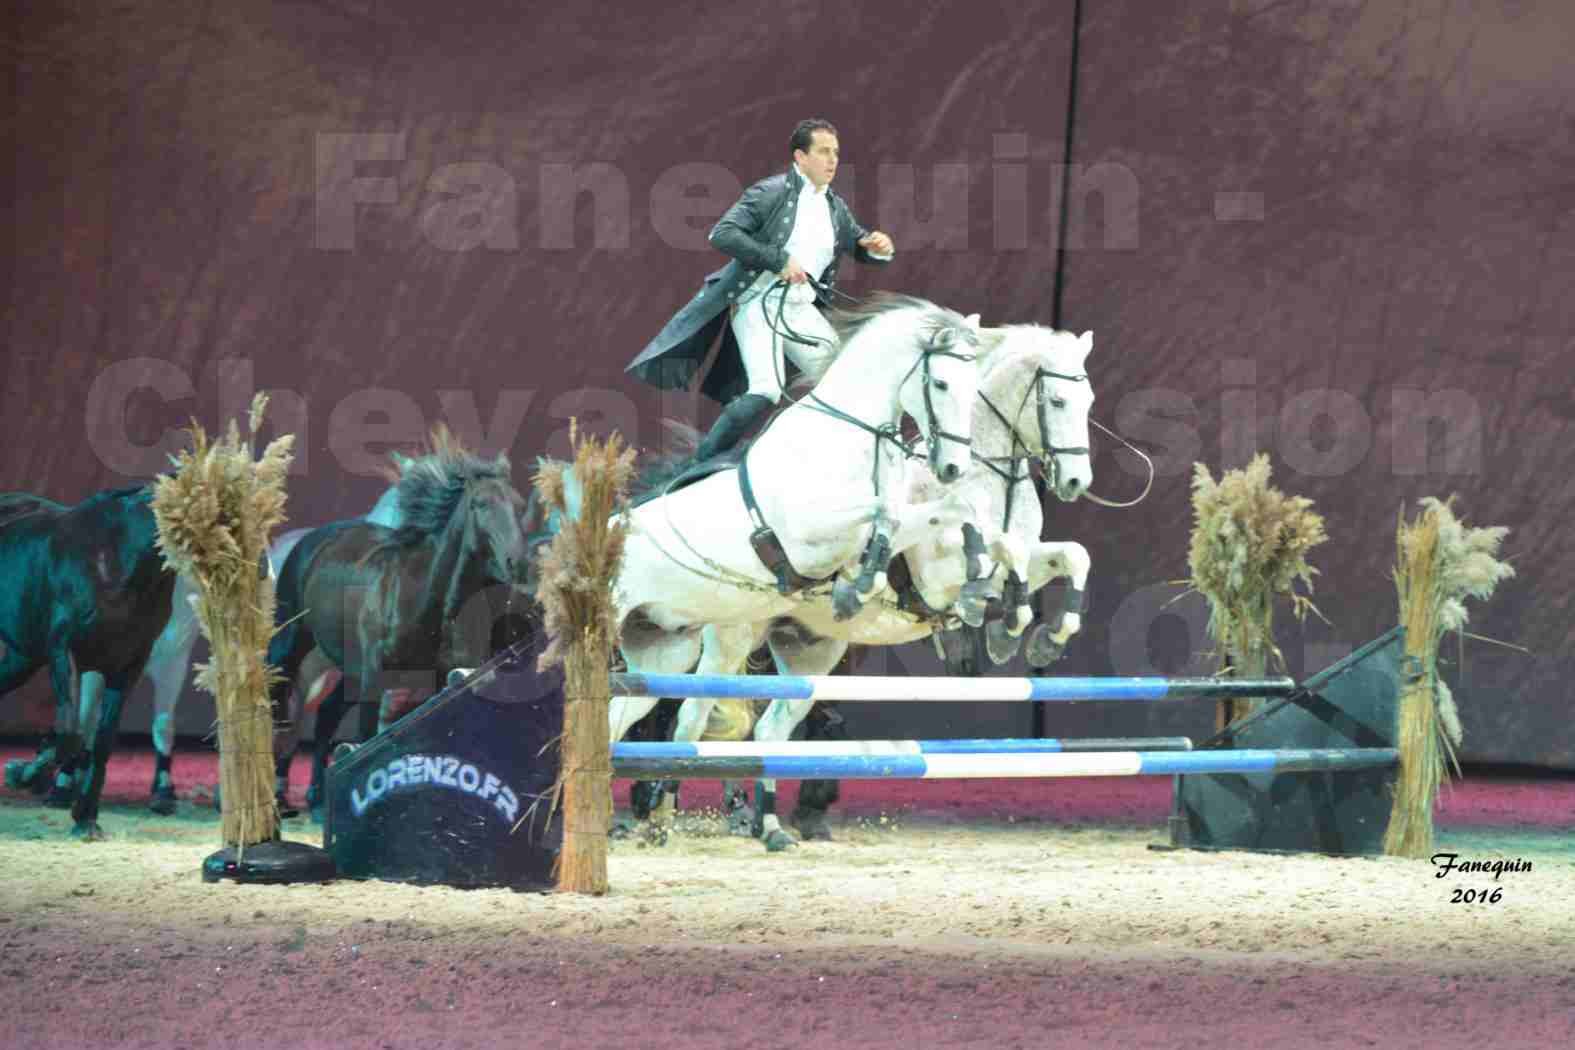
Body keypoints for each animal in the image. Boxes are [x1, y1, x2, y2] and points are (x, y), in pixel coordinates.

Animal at [0, 484, 175, 837]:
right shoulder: (64, 649)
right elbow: (72, 734)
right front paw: (25, 774)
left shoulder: (128, 665)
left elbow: (101, 739)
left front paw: (86, 817)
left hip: (21, 660)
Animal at [269, 434, 535, 812]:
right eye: (479, 504)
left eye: (518, 504)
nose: (518, 563)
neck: (427, 603)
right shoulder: (373, 677)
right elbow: (365, 741)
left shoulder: (443, 681)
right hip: (294, 644)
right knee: (284, 704)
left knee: (327, 714)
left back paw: (317, 796)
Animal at [595, 291, 989, 743]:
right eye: (941, 384)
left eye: (974, 388)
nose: (953, 468)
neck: (853, 435)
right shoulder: (807, 535)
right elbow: (882, 514)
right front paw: (858, 585)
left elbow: (949, 511)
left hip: (665, 647)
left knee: (622, 718)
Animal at [652, 321, 1096, 843]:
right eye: (1059, 402)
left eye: (1088, 401)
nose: (1076, 481)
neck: (990, 476)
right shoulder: (936, 576)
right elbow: (1001, 554)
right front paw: (999, 625)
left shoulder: (1032, 554)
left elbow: (1067, 556)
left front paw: (1039, 639)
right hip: (732, 639)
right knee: (690, 718)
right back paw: (660, 817)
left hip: (812, 653)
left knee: (770, 729)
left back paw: (770, 824)